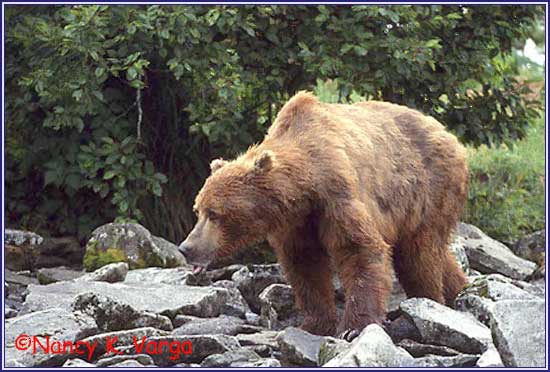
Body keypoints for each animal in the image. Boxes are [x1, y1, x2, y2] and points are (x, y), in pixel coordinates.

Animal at [180, 91, 470, 340]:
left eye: (215, 213)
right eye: (198, 209)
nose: (186, 247)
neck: (305, 183)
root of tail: (449, 135)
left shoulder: (336, 197)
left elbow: (359, 250)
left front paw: (354, 327)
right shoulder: (296, 222)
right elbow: (305, 265)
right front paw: (314, 323)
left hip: (428, 190)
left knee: (419, 255)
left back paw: (430, 300)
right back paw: (458, 290)